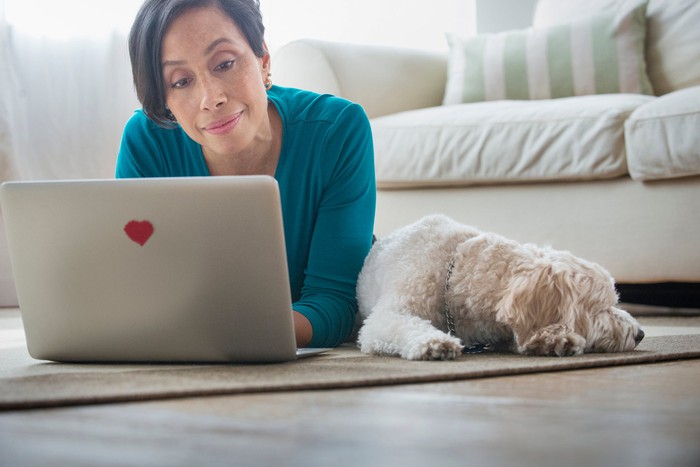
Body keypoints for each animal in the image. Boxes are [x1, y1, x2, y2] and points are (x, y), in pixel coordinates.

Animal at [356, 216, 644, 362]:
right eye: (602, 307)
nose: (640, 334)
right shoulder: (388, 315)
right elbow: (400, 325)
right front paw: (432, 342)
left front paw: (552, 340)